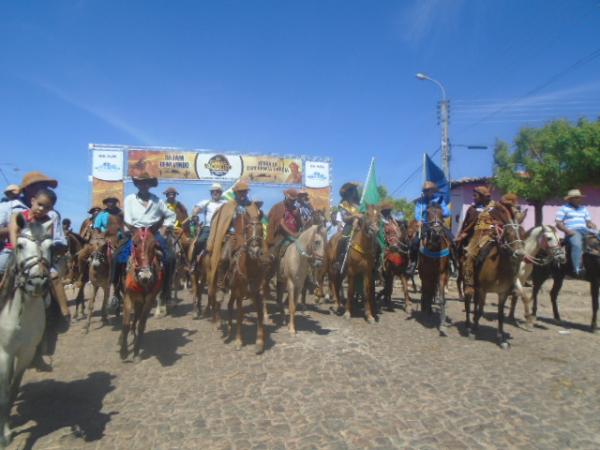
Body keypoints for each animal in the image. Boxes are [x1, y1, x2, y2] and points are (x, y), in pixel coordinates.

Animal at [118, 229, 162, 362]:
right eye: (135, 244)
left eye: (154, 246)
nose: (145, 276)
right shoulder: (128, 298)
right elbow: (125, 324)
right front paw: (123, 352)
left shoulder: (148, 300)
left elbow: (141, 325)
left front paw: (136, 352)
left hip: (140, 303)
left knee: (137, 317)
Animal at [225, 209, 268, 354]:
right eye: (247, 229)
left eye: (261, 229)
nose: (255, 250)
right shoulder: (239, 293)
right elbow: (239, 315)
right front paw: (239, 340)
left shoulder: (257, 292)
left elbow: (260, 313)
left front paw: (260, 342)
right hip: (234, 291)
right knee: (230, 306)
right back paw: (229, 328)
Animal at [464, 204, 524, 348]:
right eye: (507, 233)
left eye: (523, 232)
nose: (520, 254)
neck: (499, 269)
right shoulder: (481, 289)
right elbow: (479, 310)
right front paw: (473, 331)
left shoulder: (503, 293)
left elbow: (500, 314)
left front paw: (501, 339)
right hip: (469, 284)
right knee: (468, 302)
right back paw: (468, 325)